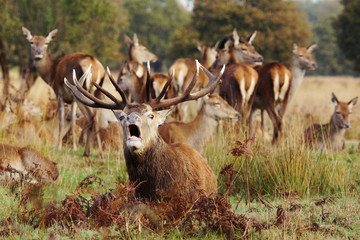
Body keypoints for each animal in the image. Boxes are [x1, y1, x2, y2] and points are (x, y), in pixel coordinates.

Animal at [21, 27, 104, 157]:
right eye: (31, 42)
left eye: (46, 43)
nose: (38, 52)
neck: (52, 73)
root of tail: (97, 68)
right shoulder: (72, 99)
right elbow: (73, 120)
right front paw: (74, 147)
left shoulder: (59, 94)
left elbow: (60, 119)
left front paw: (59, 146)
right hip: (96, 93)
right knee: (98, 117)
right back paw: (100, 153)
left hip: (80, 91)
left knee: (90, 116)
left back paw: (86, 152)